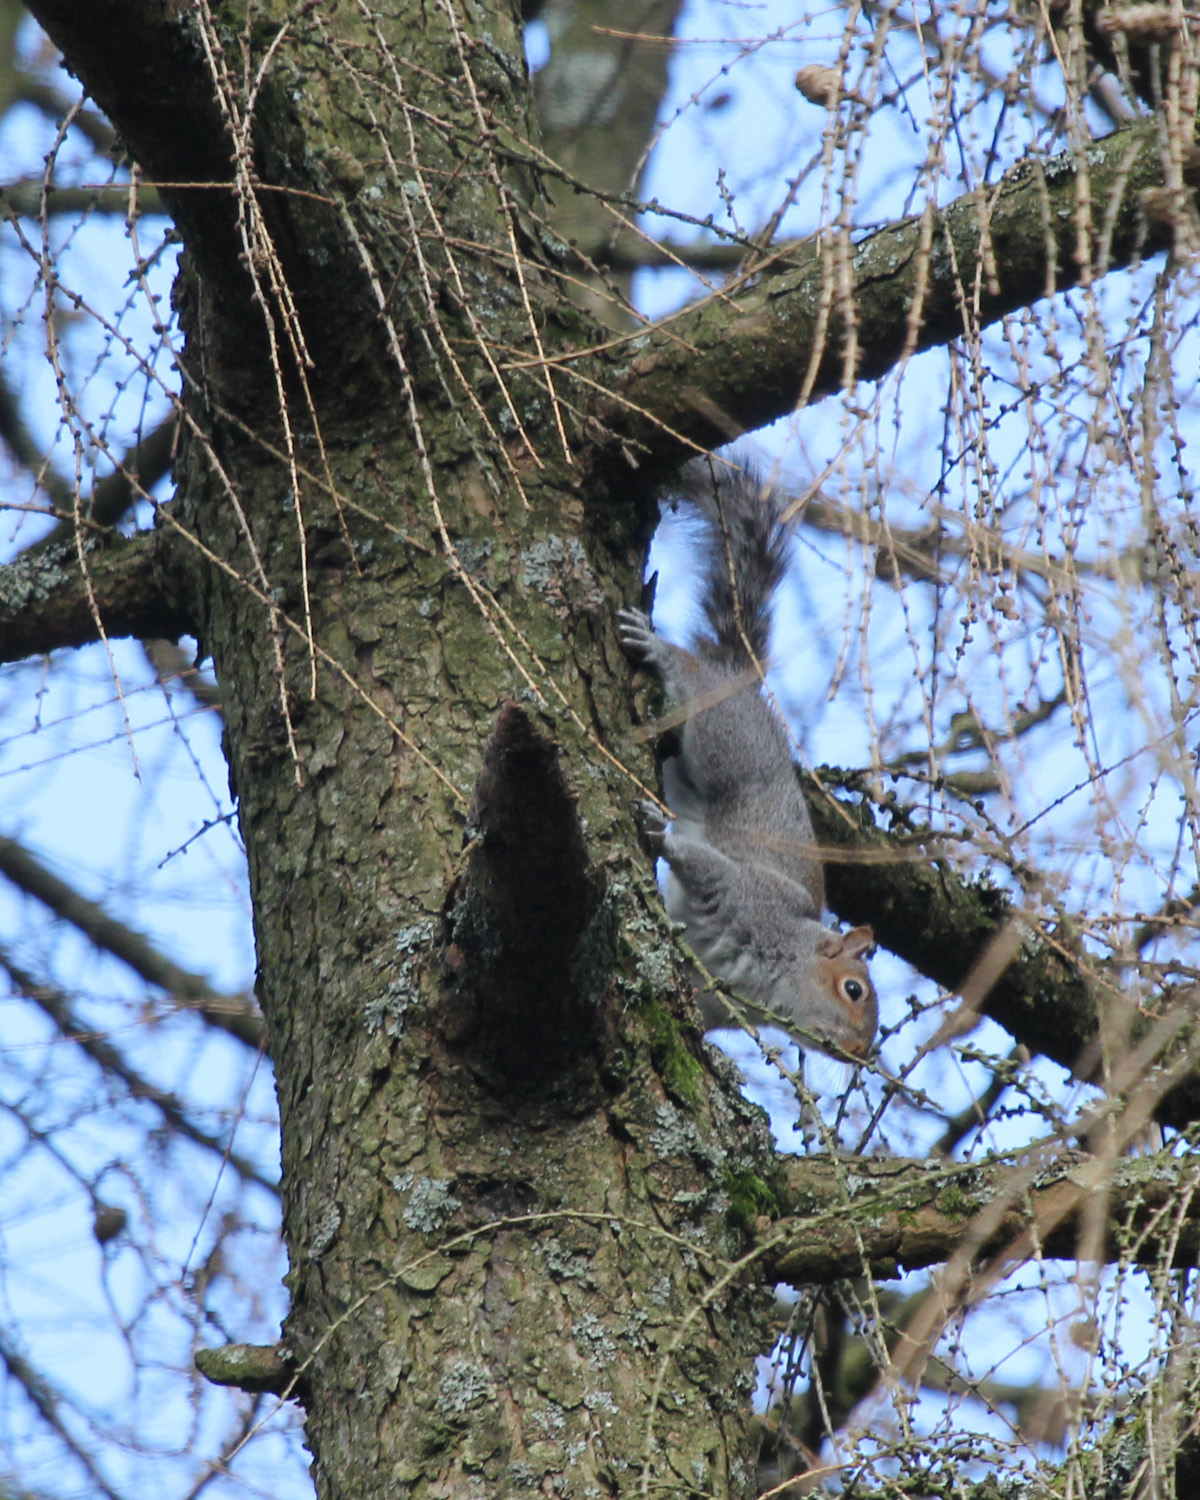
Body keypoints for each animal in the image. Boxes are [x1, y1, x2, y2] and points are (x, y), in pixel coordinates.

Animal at [618, 463, 877, 1060]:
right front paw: (660, 835)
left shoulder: (716, 995)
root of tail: (743, 680)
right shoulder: (749, 896)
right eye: (853, 990)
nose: (862, 1054)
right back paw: (663, 652)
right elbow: (704, 865)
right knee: (696, 680)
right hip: (726, 740)